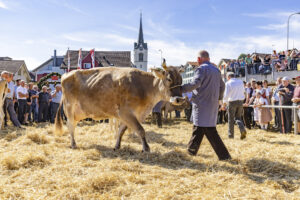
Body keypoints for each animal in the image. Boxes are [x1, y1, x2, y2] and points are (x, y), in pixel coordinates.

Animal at [54, 65, 184, 152]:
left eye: (181, 80)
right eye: (169, 79)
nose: (179, 99)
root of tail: (66, 74)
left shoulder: (128, 115)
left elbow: (121, 131)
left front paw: (117, 146)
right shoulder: (126, 112)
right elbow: (140, 129)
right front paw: (146, 148)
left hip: (77, 112)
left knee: (73, 125)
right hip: (69, 108)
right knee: (70, 126)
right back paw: (73, 144)